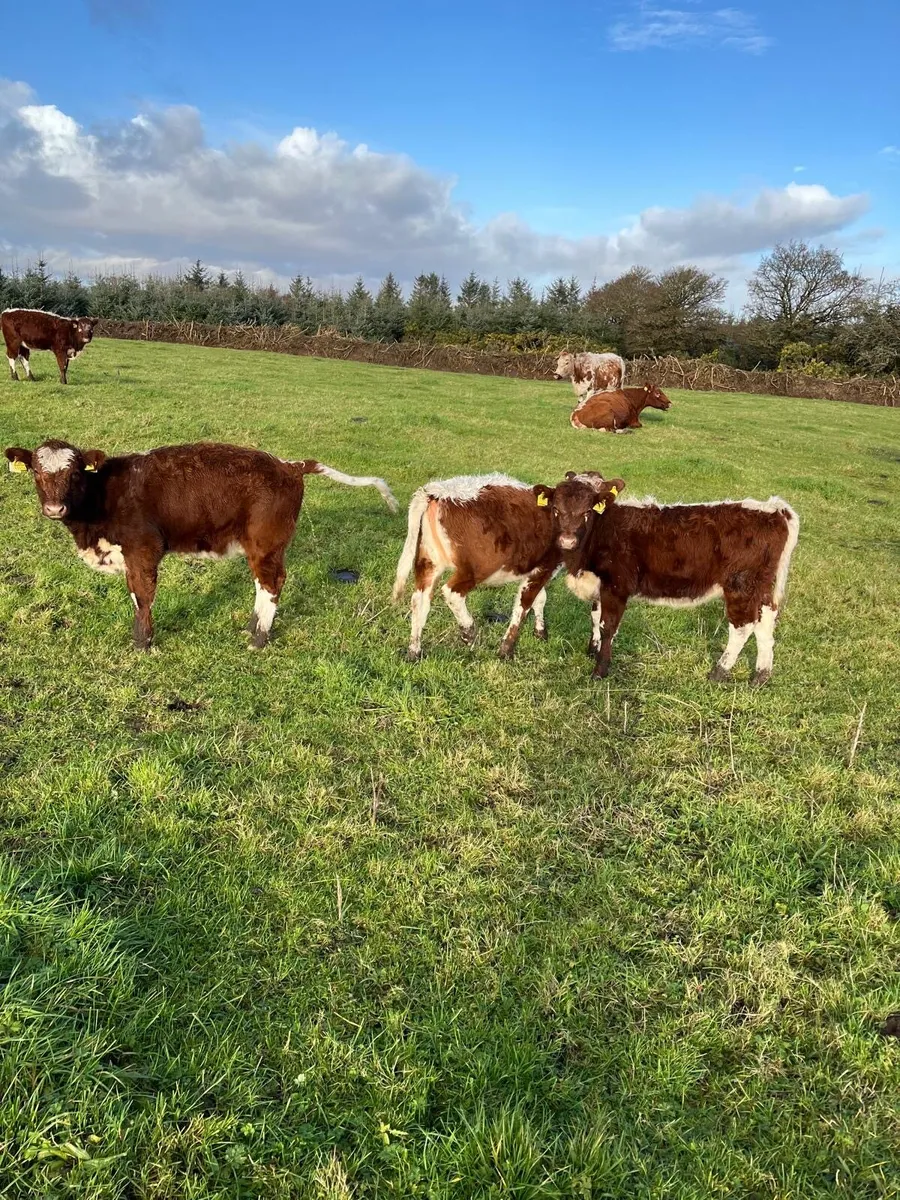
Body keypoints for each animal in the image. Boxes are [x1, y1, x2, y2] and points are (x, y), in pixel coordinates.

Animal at [5, 439, 398, 649]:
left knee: (272, 583)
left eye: (73, 474)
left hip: (267, 543)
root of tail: (288, 465)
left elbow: (142, 595)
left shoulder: (143, 550)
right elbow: (134, 593)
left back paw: (258, 639)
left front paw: (142, 644)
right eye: (37, 472)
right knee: (262, 584)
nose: (54, 508)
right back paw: (252, 627)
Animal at [392, 473, 562, 661]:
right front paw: (507, 650)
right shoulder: (546, 566)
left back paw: (414, 652)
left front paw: (540, 632)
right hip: (476, 568)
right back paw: (470, 633)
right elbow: (525, 604)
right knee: (451, 593)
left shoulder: (537, 569)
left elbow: (540, 599)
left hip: (429, 561)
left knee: (419, 600)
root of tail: (436, 492)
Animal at [532, 472, 799, 684]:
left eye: (588, 511)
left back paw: (718, 673)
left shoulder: (617, 586)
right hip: (761, 588)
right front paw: (592, 650)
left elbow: (608, 626)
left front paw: (599, 670)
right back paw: (760, 677)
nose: (567, 540)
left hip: (740, 585)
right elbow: (595, 618)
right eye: (555, 509)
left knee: (743, 627)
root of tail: (775, 510)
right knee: (765, 625)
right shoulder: (600, 585)